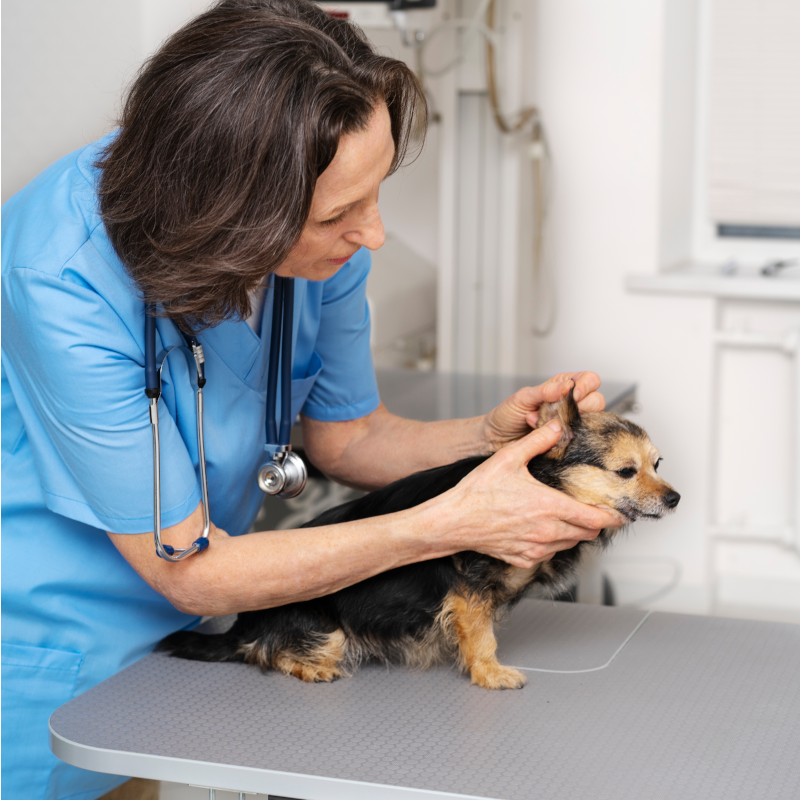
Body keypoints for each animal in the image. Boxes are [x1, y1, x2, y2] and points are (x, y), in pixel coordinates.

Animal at [161, 390, 680, 688]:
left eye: (658, 465)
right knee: (266, 653)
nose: (675, 498)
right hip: (324, 630)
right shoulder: (469, 590)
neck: (540, 479)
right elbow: (481, 637)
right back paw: (310, 666)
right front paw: (490, 674)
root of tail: (240, 627)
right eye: (626, 471)